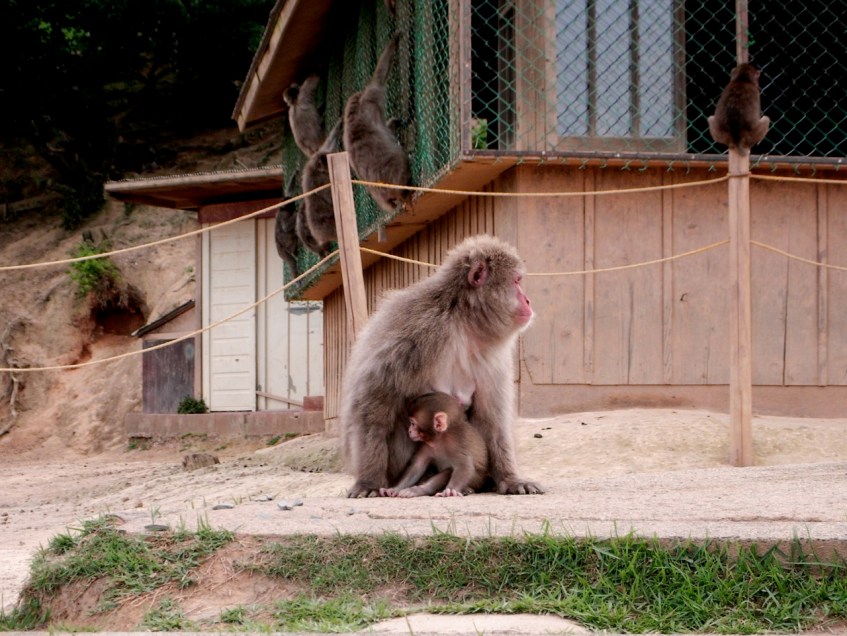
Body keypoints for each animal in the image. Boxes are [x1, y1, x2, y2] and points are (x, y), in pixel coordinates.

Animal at [300, 119, 343, 256]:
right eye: (325, 164)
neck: (316, 169)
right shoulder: (320, 178)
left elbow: (327, 144)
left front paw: (340, 124)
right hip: (327, 227)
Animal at [340, 234, 543, 498]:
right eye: (516, 282)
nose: (528, 300)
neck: (461, 322)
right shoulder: (414, 332)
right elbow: (374, 403)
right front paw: (369, 481)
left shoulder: (492, 355)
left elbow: (491, 416)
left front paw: (511, 479)